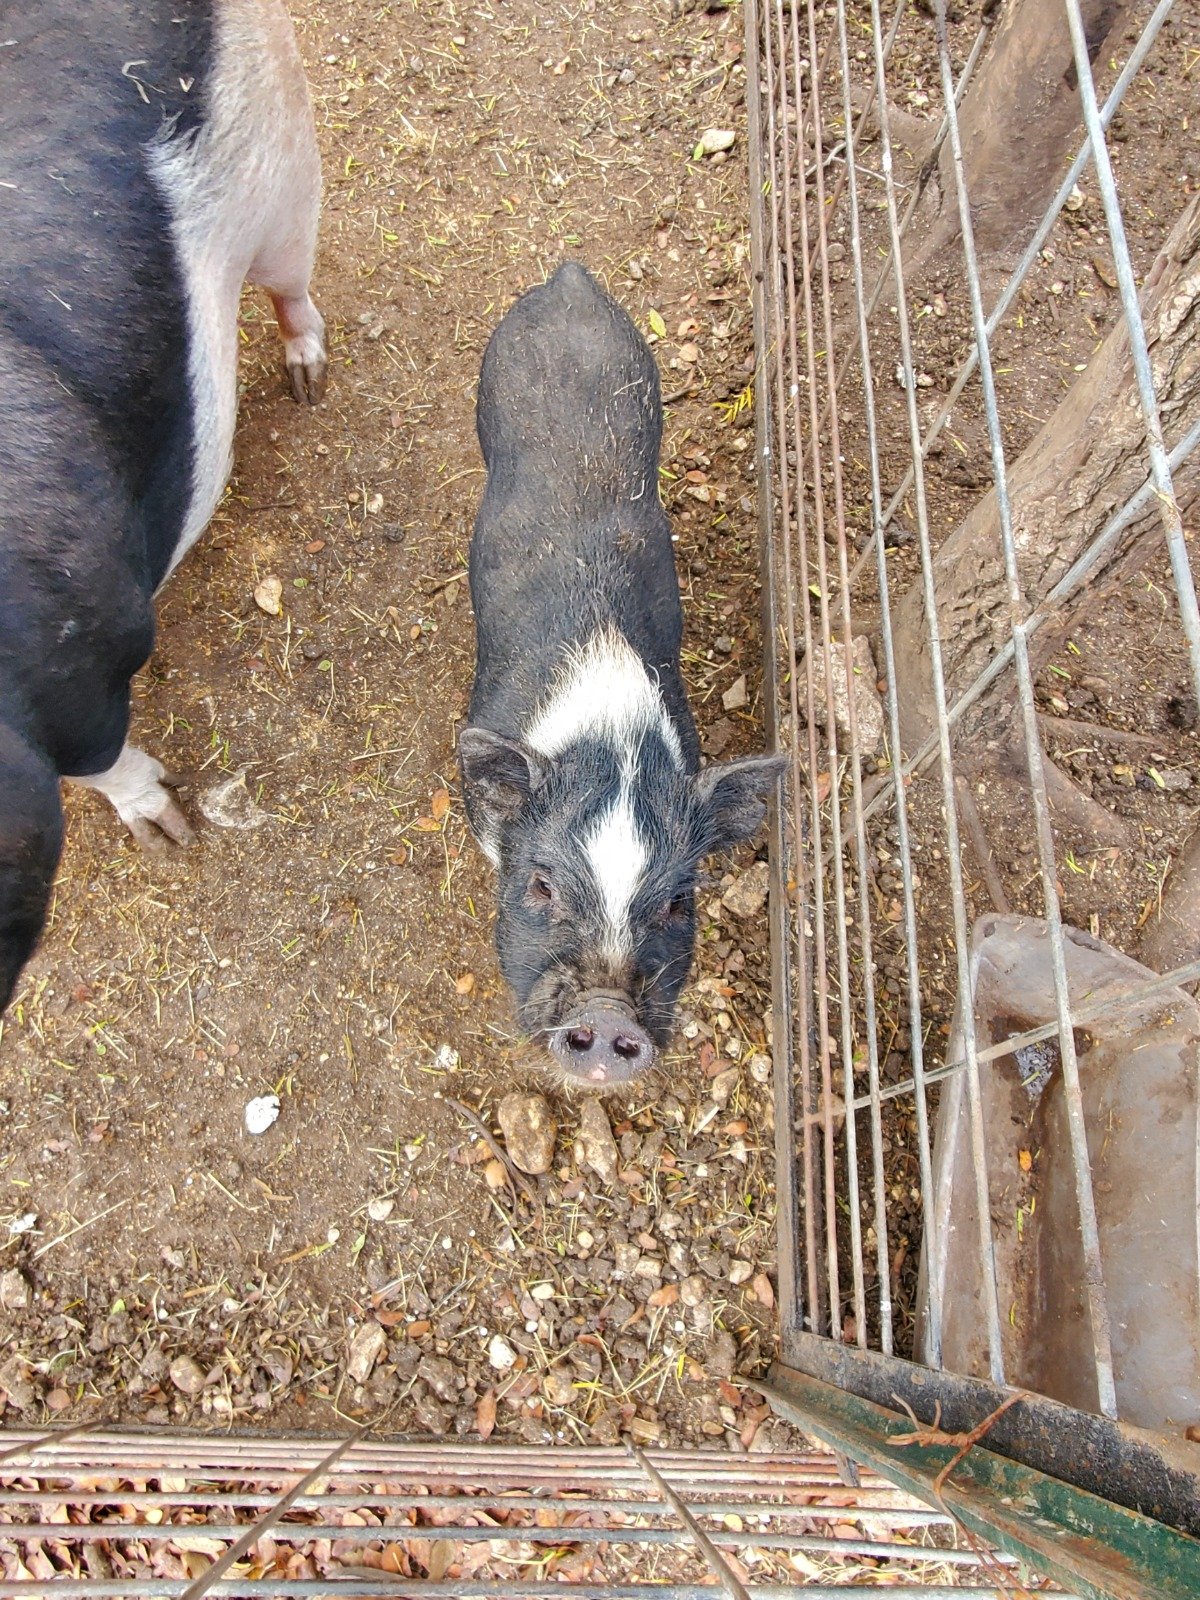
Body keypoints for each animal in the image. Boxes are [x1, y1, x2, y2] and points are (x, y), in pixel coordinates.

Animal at [0, 0, 326, 1012]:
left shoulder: (83, 656)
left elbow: (105, 757)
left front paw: (172, 838)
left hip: (285, 166)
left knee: (295, 283)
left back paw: (309, 381)